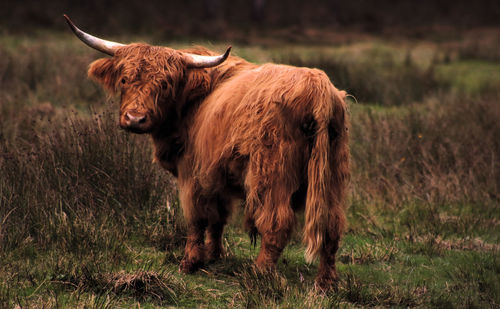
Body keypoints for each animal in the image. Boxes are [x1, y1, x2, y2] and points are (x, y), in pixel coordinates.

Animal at [64, 14, 350, 288]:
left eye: (165, 85)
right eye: (124, 79)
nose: (135, 119)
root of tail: (317, 88)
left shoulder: (193, 173)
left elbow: (196, 218)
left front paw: (189, 263)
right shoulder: (216, 174)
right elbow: (218, 218)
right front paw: (213, 255)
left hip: (271, 175)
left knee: (276, 223)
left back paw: (259, 273)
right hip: (332, 178)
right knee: (331, 227)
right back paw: (325, 284)